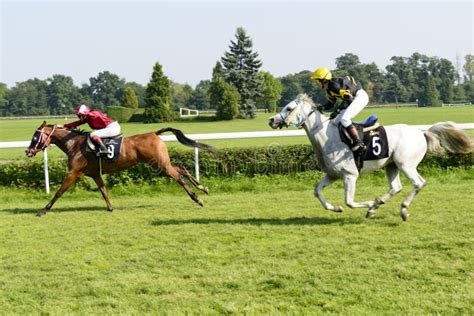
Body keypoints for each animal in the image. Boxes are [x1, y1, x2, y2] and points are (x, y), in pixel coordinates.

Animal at [26, 119, 216, 216]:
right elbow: (104, 191)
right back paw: (203, 188)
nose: (28, 151)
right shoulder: (95, 174)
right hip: (162, 162)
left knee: (179, 177)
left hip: (159, 164)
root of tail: (154, 133)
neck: (74, 145)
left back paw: (197, 198)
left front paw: (43, 210)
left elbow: (59, 192)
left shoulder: (74, 173)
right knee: (182, 169)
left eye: (35, 137)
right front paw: (110, 208)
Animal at [268, 94, 472, 220]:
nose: (271, 120)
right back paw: (378, 206)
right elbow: (317, 191)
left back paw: (402, 210)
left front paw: (368, 204)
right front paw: (337, 208)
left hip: (406, 165)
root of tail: (422, 132)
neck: (327, 137)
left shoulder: (350, 176)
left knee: (419, 183)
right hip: (391, 165)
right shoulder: (332, 175)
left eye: (289, 108)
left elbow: (350, 201)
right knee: (396, 187)